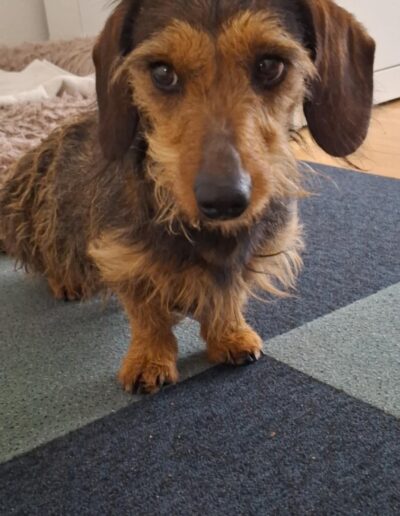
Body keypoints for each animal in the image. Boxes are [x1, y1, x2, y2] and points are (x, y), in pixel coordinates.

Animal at [0, 0, 374, 394]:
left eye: (270, 65)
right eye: (163, 72)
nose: (223, 200)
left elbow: (228, 295)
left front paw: (230, 335)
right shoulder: (122, 254)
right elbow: (147, 314)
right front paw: (149, 359)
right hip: (48, 220)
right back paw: (65, 281)